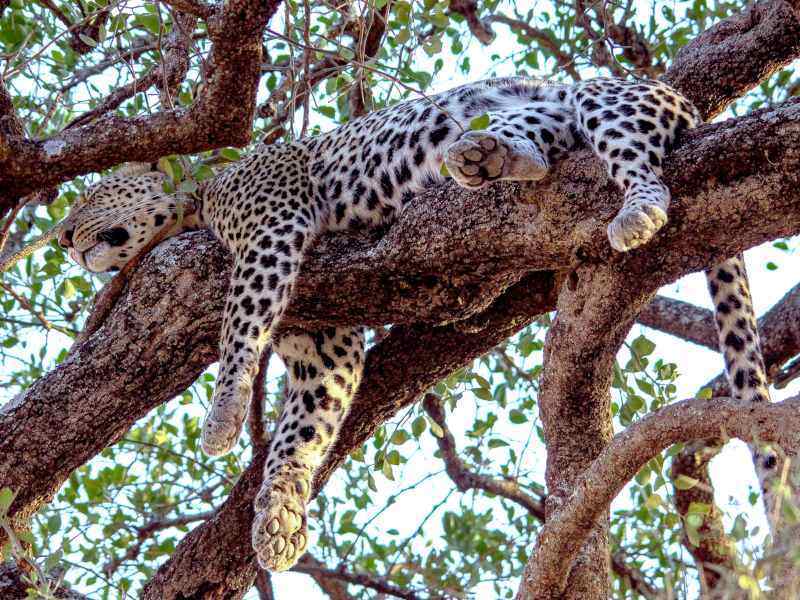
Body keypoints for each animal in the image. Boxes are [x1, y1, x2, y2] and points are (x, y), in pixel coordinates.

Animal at [58, 76, 772, 572]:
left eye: (91, 196)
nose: (63, 236)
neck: (200, 197)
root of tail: (690, 103)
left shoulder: (272, 226)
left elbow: (240, 326)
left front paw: (224, 413)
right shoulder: (322, 341)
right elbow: (301, 432)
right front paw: (280, 519)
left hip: (605, 98)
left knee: (638, 164)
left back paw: (631, 211)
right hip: (536, 118)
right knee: (538, 148)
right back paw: (488, 154)